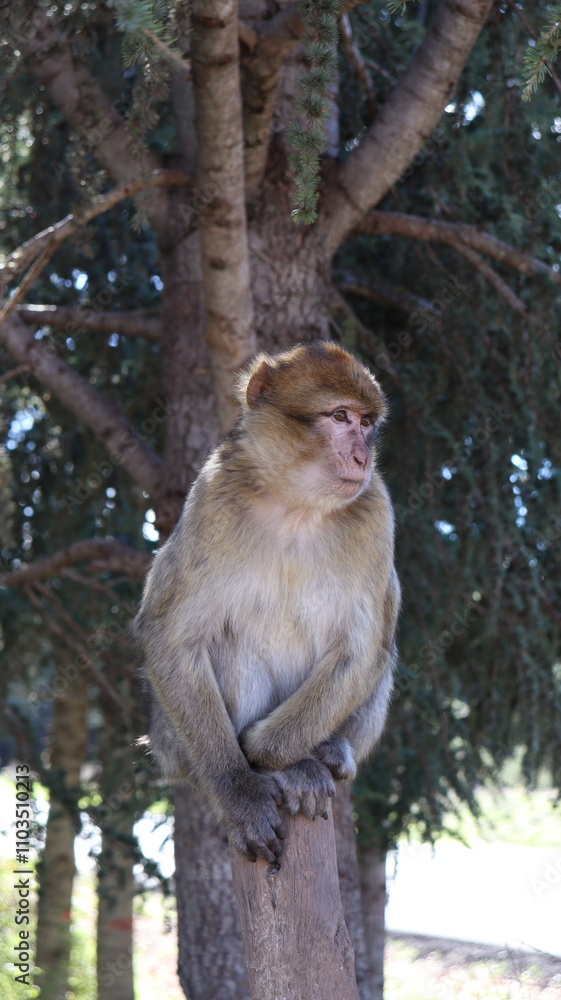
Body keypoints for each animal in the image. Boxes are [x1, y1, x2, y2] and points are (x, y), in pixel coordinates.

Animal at [134, 341, 400, 865]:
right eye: (339, 416)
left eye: (366, 422)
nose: (361, 456)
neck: (297, 505)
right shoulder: (213, 495)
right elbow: (173, 638)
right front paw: (239, 790)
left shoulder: (377, 509)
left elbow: (363, 649)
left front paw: (262, 747)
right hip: (172, 743)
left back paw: (322, 753)